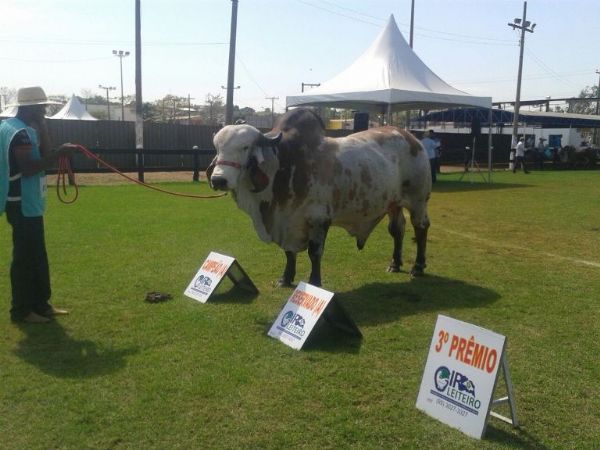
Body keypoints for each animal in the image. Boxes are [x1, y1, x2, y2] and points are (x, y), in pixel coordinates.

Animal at [206, 107, 432, 286]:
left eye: (245, 147)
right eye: (217, 147)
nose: (218, 180)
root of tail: (412, 138)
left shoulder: (319, 219)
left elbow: (314, 253)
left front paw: (314, 283)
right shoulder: (288, 223)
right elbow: (289, 252)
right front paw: (285, 278)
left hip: (418, 200)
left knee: (420, 227)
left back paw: (418, 267)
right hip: (394, 202)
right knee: (397, 229)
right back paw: (395, 264)